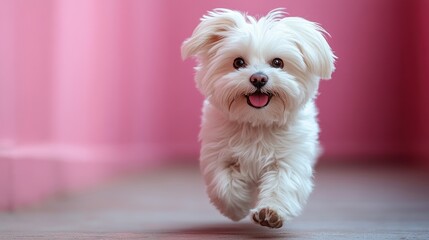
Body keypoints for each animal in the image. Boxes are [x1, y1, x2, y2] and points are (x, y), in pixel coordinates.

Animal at [181, 7, 334, 229]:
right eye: (238, 62)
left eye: (278, 62)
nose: (259, 78)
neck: (257, 122)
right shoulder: (219, 154)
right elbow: (225, 183)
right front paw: (237, 206)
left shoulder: (289, 159)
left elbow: (282, 185)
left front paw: (270, 212)